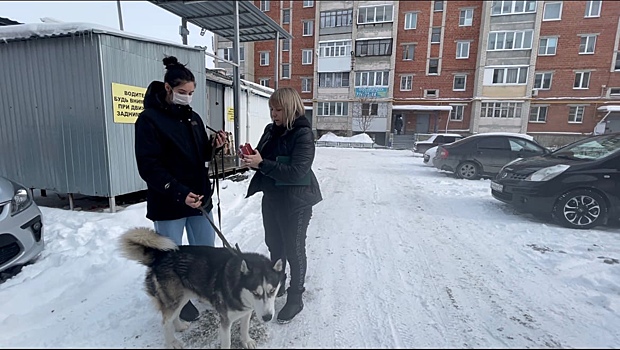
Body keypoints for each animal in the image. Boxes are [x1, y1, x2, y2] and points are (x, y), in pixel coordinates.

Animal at [119, 226, 284, 348]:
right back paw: (172, 343)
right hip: (174, 298)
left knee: (173, 315)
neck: (237, 287)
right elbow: (227, 341)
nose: (267, 317)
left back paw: (179, 326)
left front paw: (246, 341)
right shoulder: (225, 320)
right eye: (255, 293)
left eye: (272, 291)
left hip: (183, 295)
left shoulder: (247, 310)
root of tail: (160, 255)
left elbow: (244, 327)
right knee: (165, 321)